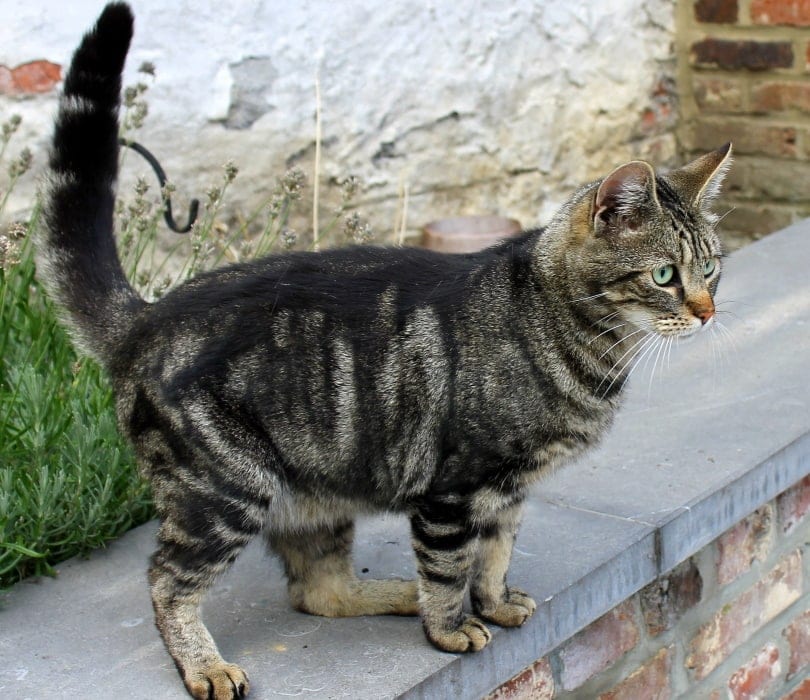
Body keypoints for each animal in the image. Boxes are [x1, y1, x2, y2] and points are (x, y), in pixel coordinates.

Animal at [38, 2, 732, 696]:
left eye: (711, 269)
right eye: (664, 275)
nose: (707, 312)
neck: (570, 339)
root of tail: (146, 316)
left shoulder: (509, 491)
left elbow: (495, 553)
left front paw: (495, 603)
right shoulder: (454, 489)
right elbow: (451, 566)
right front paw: (450, 629)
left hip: (316, 494)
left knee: (319, 591)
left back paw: (395, 595)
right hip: (224, 492)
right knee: (168, 582)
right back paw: (206, 664)